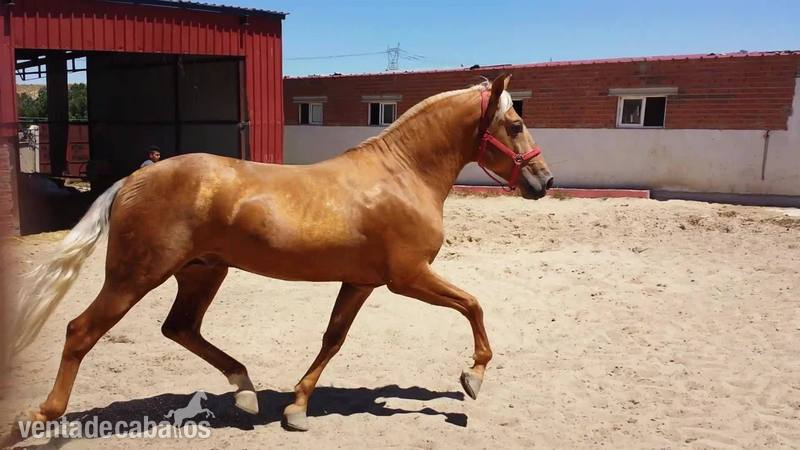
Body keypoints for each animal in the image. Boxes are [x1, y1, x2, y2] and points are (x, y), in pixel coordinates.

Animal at [11, 73, 553, 432]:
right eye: (515, 124)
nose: (544, 181)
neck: (402, 175)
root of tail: (132, 180)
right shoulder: (408, 278)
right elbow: (473, 305)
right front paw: (472, 377)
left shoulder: (361, 282)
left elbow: (333, 338)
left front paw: (297, 407)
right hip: (134, 277)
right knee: (82, 330)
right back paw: (42, 413)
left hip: (202, 273)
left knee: (180, 328)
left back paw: (246, 392)